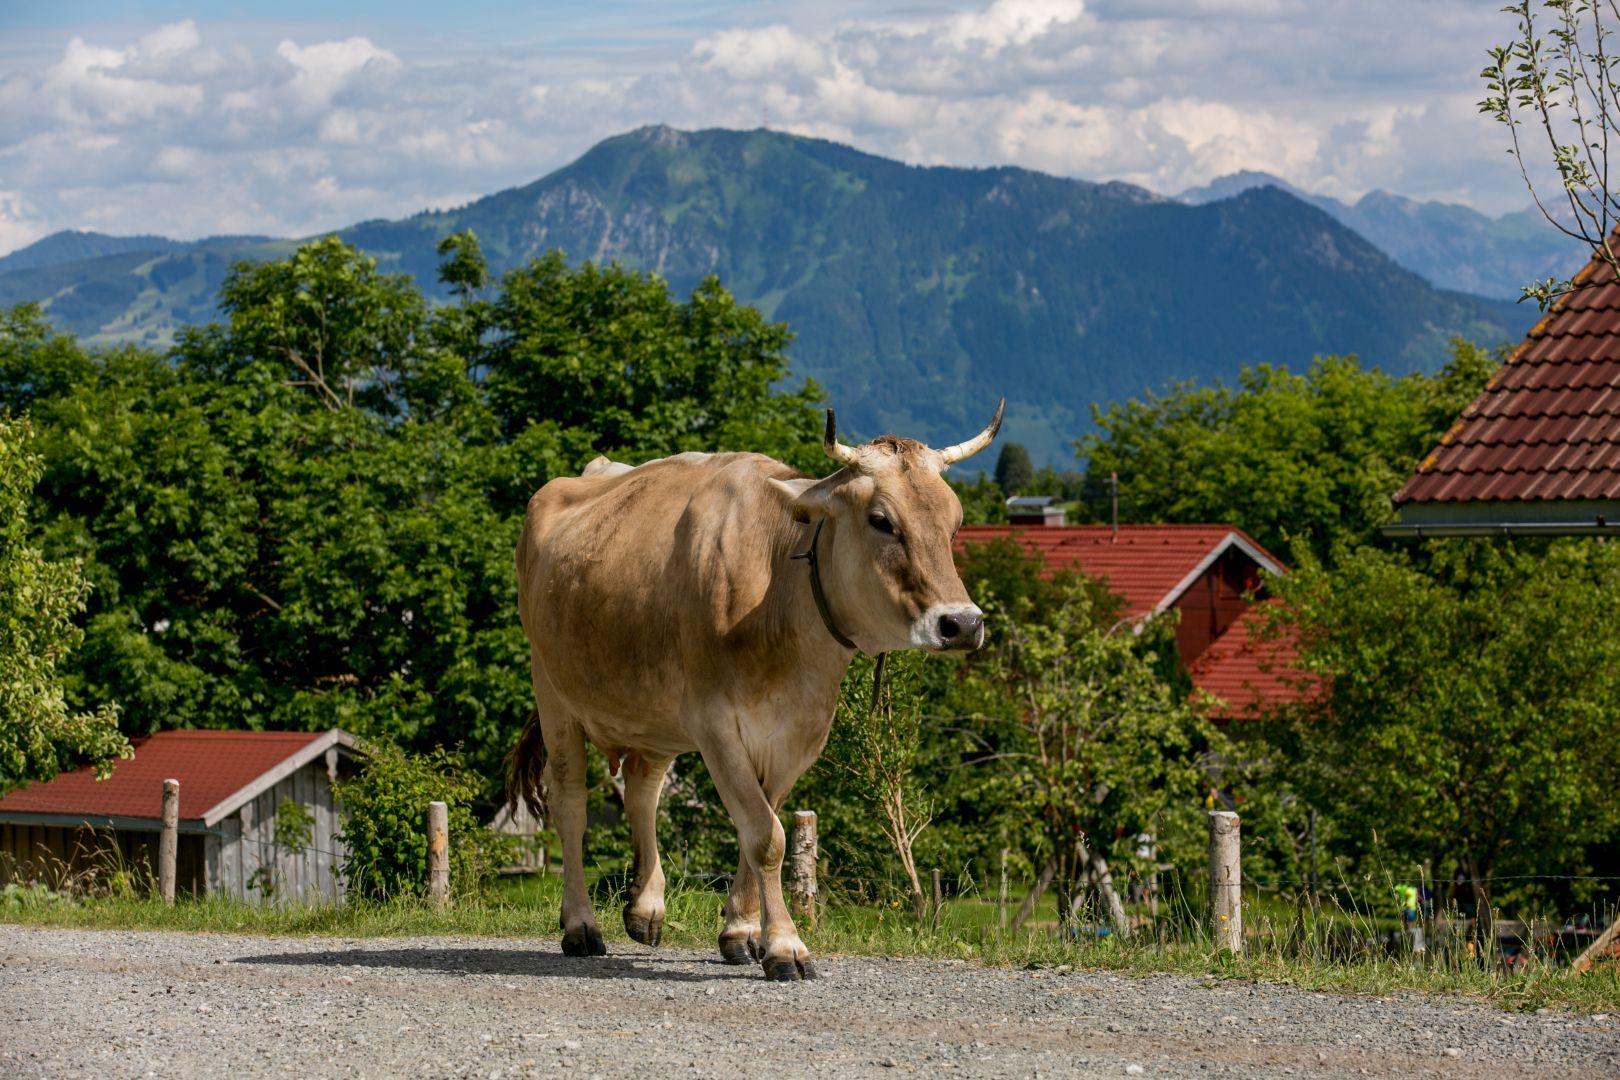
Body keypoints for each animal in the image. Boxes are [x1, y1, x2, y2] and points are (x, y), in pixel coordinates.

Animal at [507, 401, 1003, 980]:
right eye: (881, 520)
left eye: (955, 523)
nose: (963, 624)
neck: (779, 593)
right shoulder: (715, 724)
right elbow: (767, 836)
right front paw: (786, 946)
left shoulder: (799, 734)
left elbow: (758, 824)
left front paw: (742, 932)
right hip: (553, 691)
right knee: (570, 804)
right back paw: (581, 926)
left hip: (653, 713)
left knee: (642, 790)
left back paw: (645, 907)